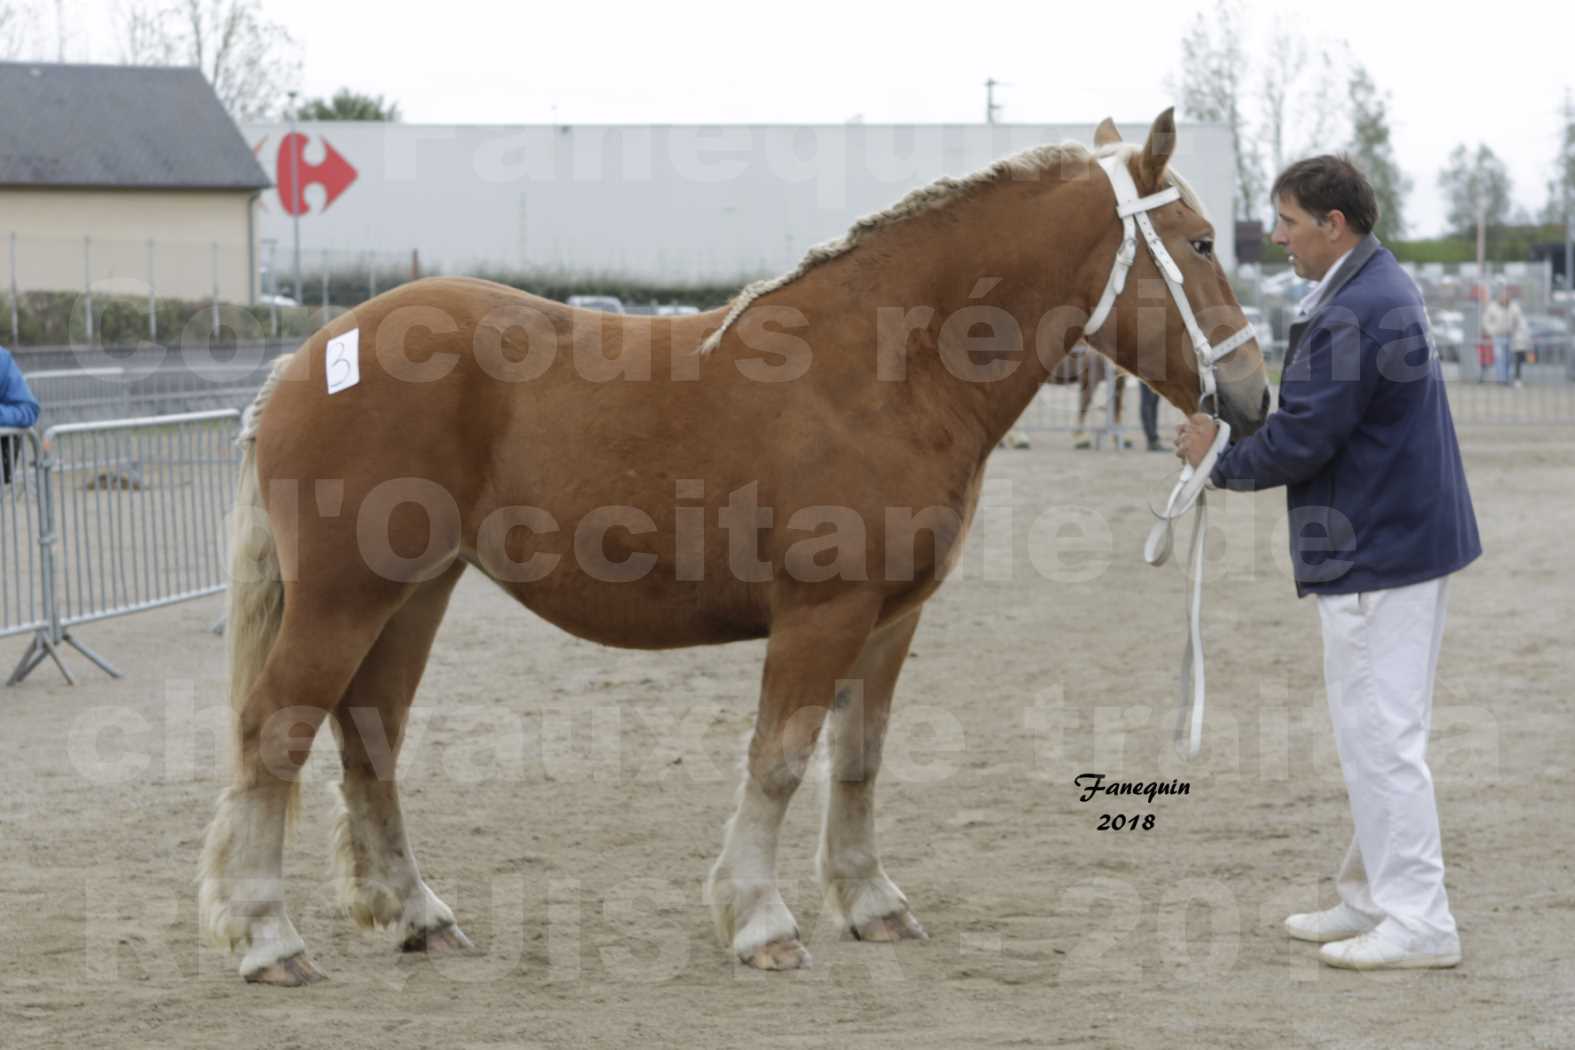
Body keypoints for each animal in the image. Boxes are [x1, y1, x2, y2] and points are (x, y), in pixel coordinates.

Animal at [196, 108, 1266, 988]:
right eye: (1201, 242)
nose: (1253, 398)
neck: (883, 372)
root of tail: (303, 360)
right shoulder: (821, 613)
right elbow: (781, 761)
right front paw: (762, 923)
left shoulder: (891, 619)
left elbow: (859, 758)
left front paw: (870, 904)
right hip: (346, 596)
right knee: (274, 730)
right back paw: (267, 938)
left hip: (414, 593)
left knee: (369, 734)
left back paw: (419, 916)